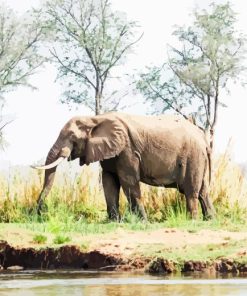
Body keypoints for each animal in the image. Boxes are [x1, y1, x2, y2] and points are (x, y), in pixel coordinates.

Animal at [32, 112, 216, 221]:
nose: (40, 213)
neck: (96, 118)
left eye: (72, 137)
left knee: (191, 192)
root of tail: (204, 139)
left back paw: (192, 221)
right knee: (203, 192)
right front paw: (114, 222)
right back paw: (210, 220)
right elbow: (109, 181)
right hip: (199, 159)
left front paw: (142, 222)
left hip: (194, 157)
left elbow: (128, 182)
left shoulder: (127, 150)